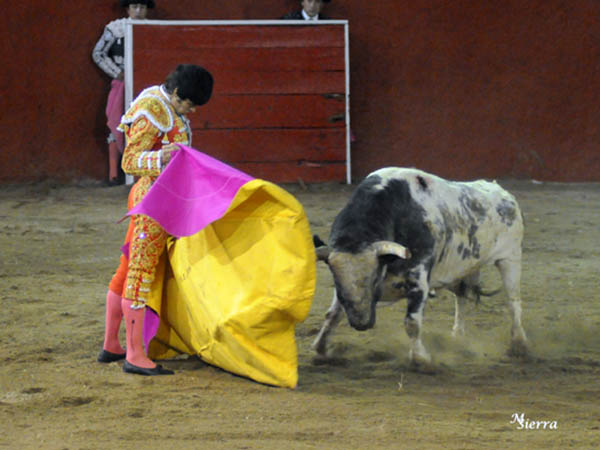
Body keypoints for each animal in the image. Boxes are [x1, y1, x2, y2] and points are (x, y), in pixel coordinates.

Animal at [312, 168, 528, 366]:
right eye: (335, 279)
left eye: (374, 278)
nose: (361, 323)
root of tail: (505, 195)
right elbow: (333, 314)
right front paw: (321, 349)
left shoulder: (419, 279)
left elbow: (412, 322)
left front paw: (420, 359)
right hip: (459, 270)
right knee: (461, 297)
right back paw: (458, 335)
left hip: (510, 258)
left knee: (513, 302)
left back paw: (519, 344)